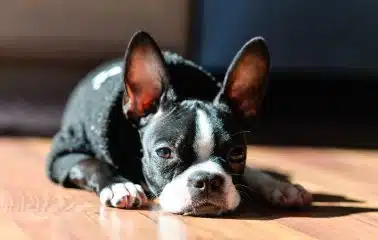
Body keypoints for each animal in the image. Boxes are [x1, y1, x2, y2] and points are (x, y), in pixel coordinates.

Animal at [46, 31, 314, 217]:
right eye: (164, 153)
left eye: (237, 154)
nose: (208, 180)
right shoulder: (64, 154)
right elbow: (92, 163)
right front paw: (120, 185)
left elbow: (252, 171)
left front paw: (280, 187)